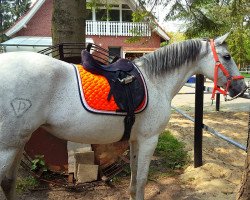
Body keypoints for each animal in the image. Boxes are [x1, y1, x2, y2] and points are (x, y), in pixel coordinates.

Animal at [0, 33, 247, 199]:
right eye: (226, 56)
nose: (241, 88)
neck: (156, 80)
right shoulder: (149, 140)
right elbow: (142, 180)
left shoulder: (135, 140)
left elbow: (134, 178)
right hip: (8, 148)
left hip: (18, 143)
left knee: (9, 182)